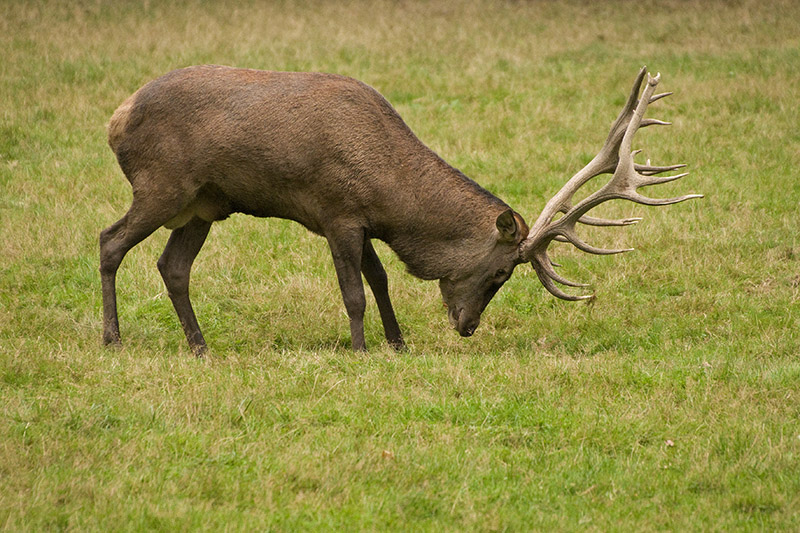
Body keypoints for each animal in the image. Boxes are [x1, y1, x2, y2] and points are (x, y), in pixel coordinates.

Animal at [100, 65, 700, 355]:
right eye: (501, 273)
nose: (467, 327)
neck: (390, 193)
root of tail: (115, 117)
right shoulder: (337, 212)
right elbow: (355, 292)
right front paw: (362, 349)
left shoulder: (365, 222)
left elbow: (383, 280)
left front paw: (399, 343)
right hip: (162, 187)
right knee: (109, 240)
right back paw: (112, 338)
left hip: (203, 206)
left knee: (172, 267)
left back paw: (200, 347)